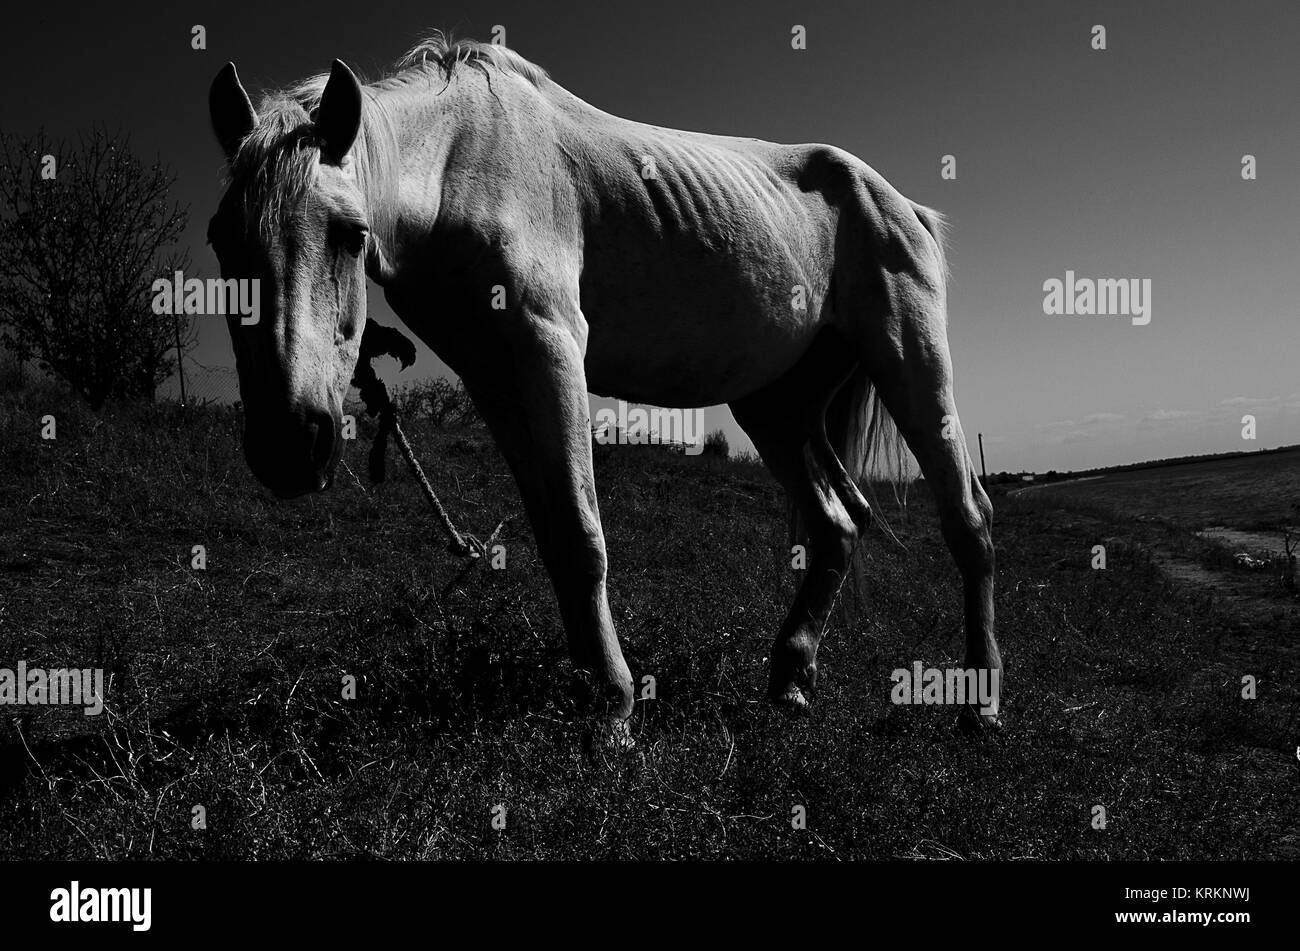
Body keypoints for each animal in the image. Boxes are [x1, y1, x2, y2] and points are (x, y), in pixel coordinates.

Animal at [208, 35, 998, 743]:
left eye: (348, 232)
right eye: (221, 241)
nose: (288, 446)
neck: (461, 163)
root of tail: (903, 205)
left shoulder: (551, 347)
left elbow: (584, 533)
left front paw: (616, 711)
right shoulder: (494, 383)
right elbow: (555, 537)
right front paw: (591, 687)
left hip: (909, 361)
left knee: (968, 519)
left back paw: (979, 705)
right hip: (776, 407)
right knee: (837, 525)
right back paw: (790, 680)